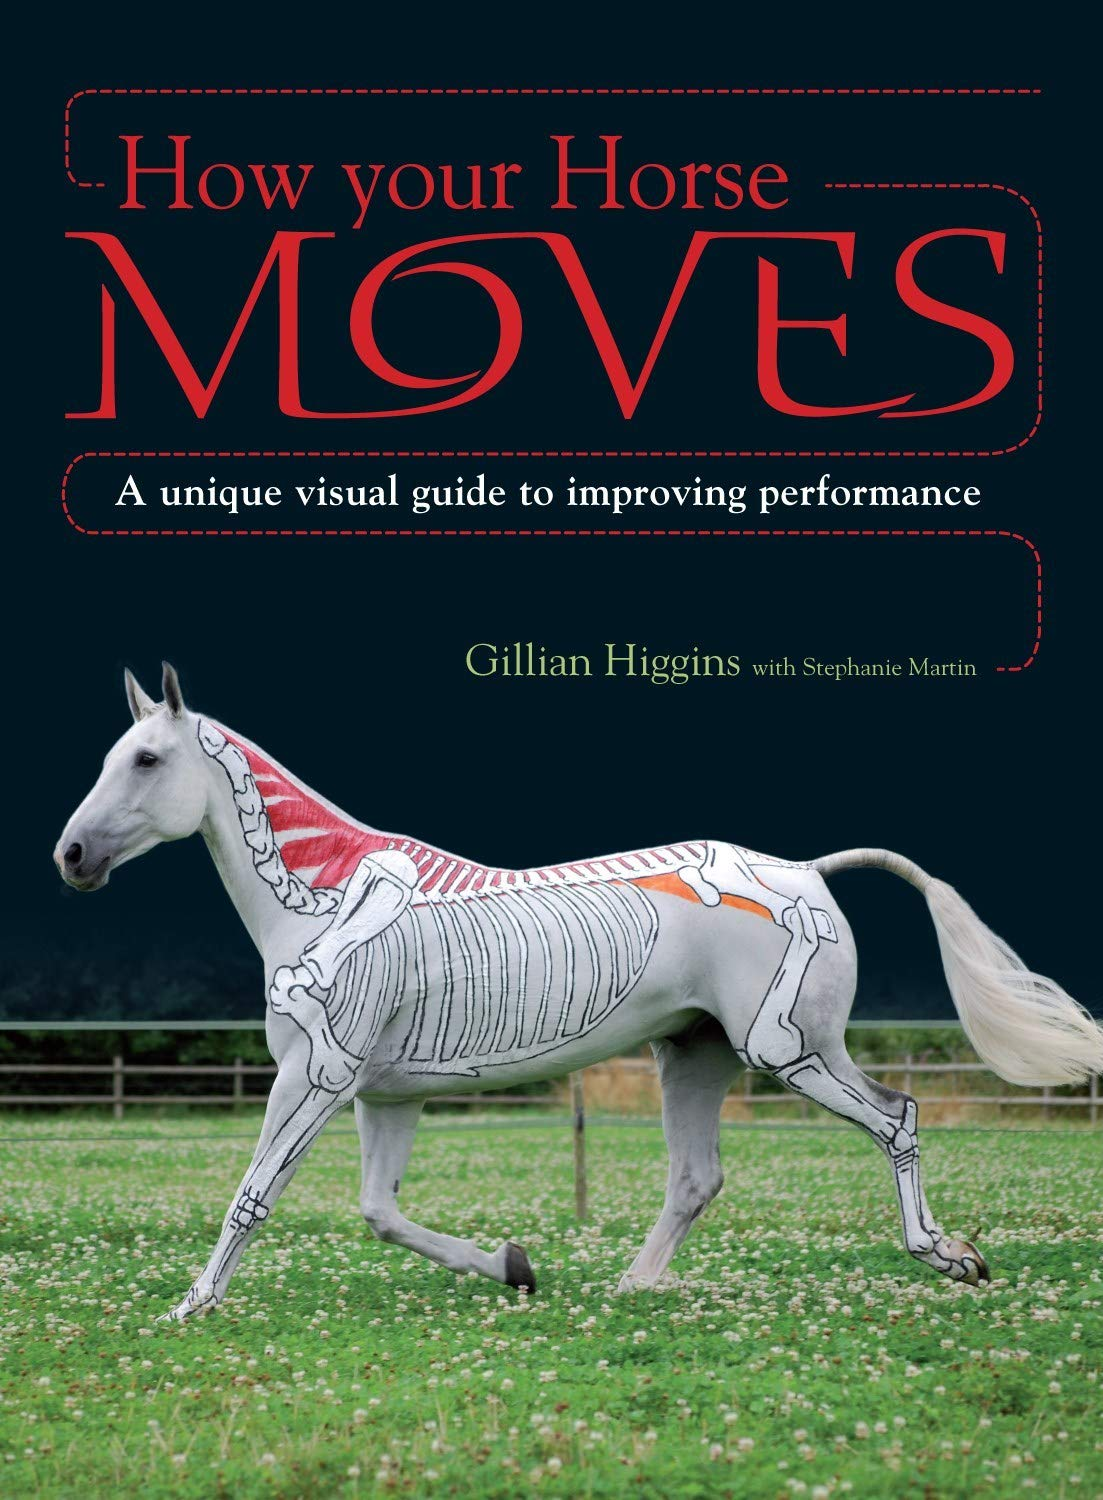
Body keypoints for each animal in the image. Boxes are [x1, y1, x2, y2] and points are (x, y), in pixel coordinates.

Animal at [54, 664, 1103, 1322]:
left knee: (895, 1117)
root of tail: (804, 870)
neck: (323, 900)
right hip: (693, 1055)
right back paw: (633, 1287)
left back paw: (950, 1258)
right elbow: (381, 1214)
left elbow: (253, 1194)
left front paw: (192, 1303)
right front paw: (513, 1269)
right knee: (696, 1177)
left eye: (146, 760)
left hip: (790, 1052)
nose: (71, 856)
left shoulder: (313, 1077)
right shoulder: (382, 1095)